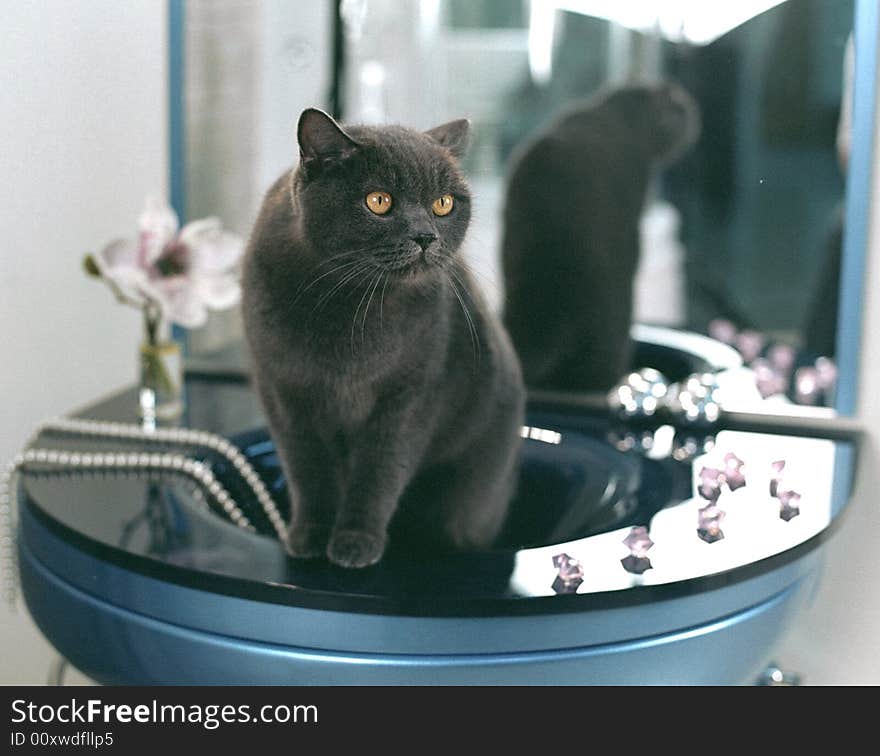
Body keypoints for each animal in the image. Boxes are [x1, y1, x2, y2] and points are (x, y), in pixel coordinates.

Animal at [242, 106, 524, 568]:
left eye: (443, 204)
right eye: (379, 201)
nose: (425, 236)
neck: (350, 306)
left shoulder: (410, 395)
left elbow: (381, 470)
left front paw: (356, 540)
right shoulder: (285, 395)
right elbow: (307, 469)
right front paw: (310, 535)